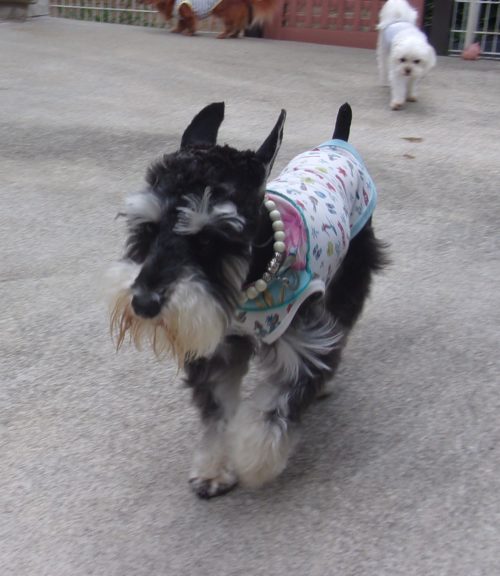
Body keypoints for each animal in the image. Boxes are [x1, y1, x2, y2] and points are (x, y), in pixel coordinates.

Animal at [107, 102, 387, 498]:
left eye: (209, 240)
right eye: (149, 228)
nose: (144, 303)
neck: (250, 286)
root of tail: (337, 144)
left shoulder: (302, 346)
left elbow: (274, 409)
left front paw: (255, 460)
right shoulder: (217, 348)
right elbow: (218, 413)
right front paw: (213, 470)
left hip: (350, 273)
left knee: (340, 327)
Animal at [141, 0, 279, 38]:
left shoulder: (188, 13)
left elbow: (190, 23)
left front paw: (190, 33)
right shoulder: (182, 16)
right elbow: (181, 23)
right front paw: (177, 30)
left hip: (227, 14)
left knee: (231, 26)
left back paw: (223, 35)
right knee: (238, 26)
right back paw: (233, 35)